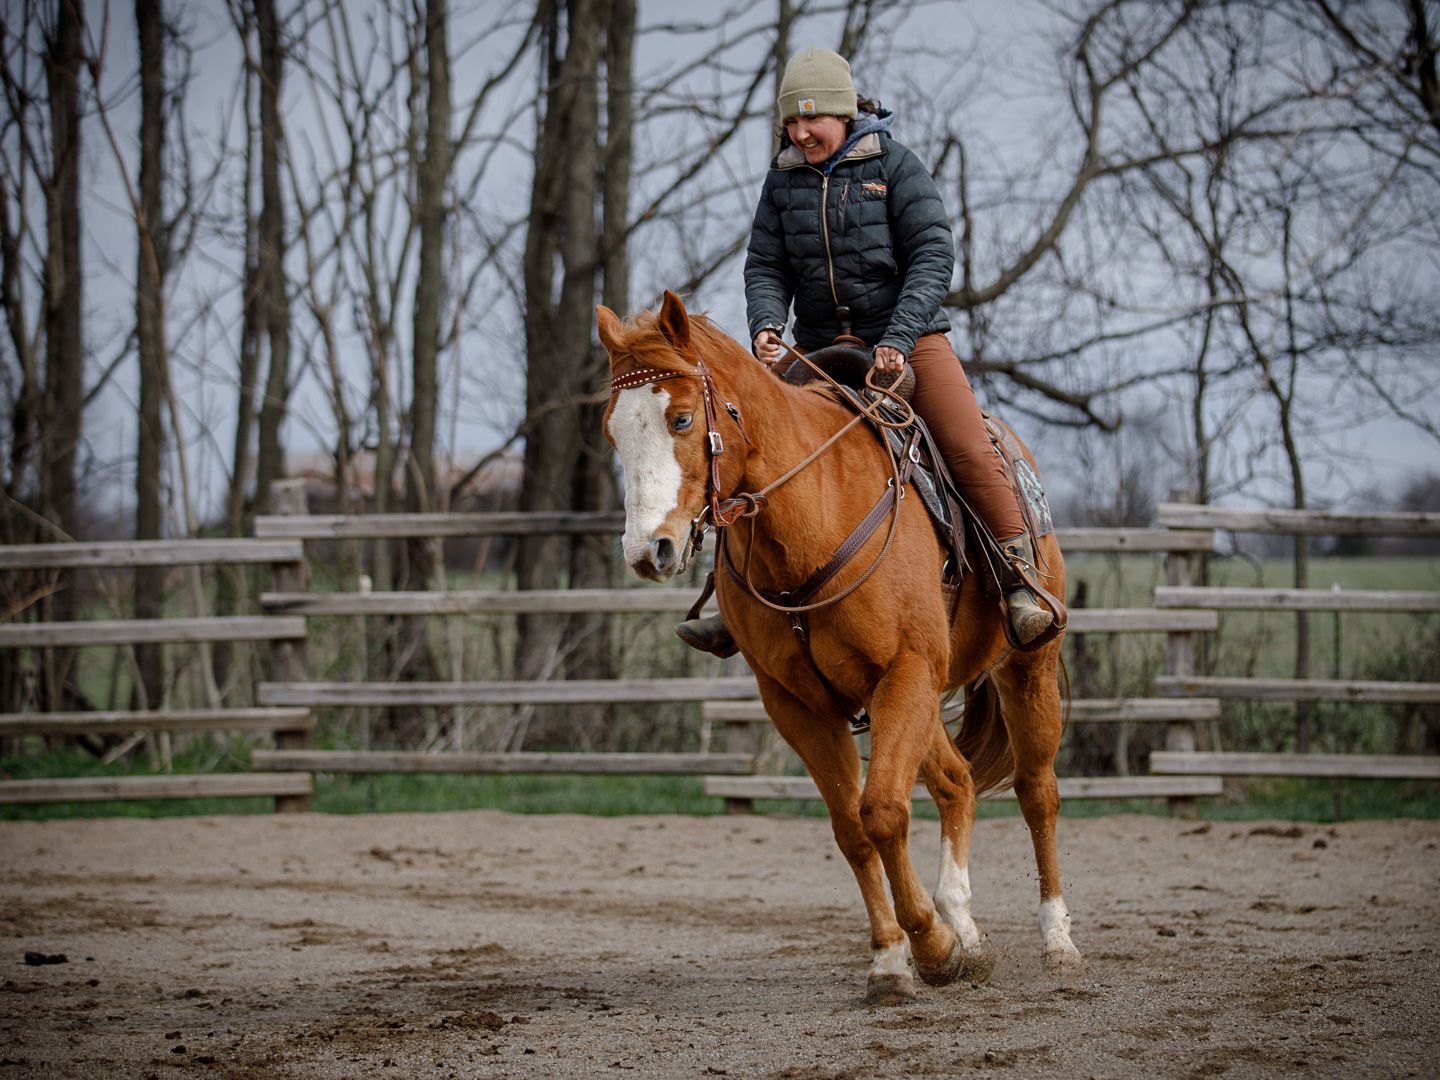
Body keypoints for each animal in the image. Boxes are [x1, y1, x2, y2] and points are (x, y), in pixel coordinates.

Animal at [597, 291, 1082, 1005]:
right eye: (613, 432)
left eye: (681, 418)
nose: (646, 551)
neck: (811, 520)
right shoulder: (800, 703)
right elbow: (851, 827)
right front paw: (895, 959)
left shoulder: (905, 672)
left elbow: (881, 812)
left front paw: (931, 948)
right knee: (957, 782)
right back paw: (967, 930)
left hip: (1024, 666)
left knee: (1035, 792)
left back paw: (1056, 940)